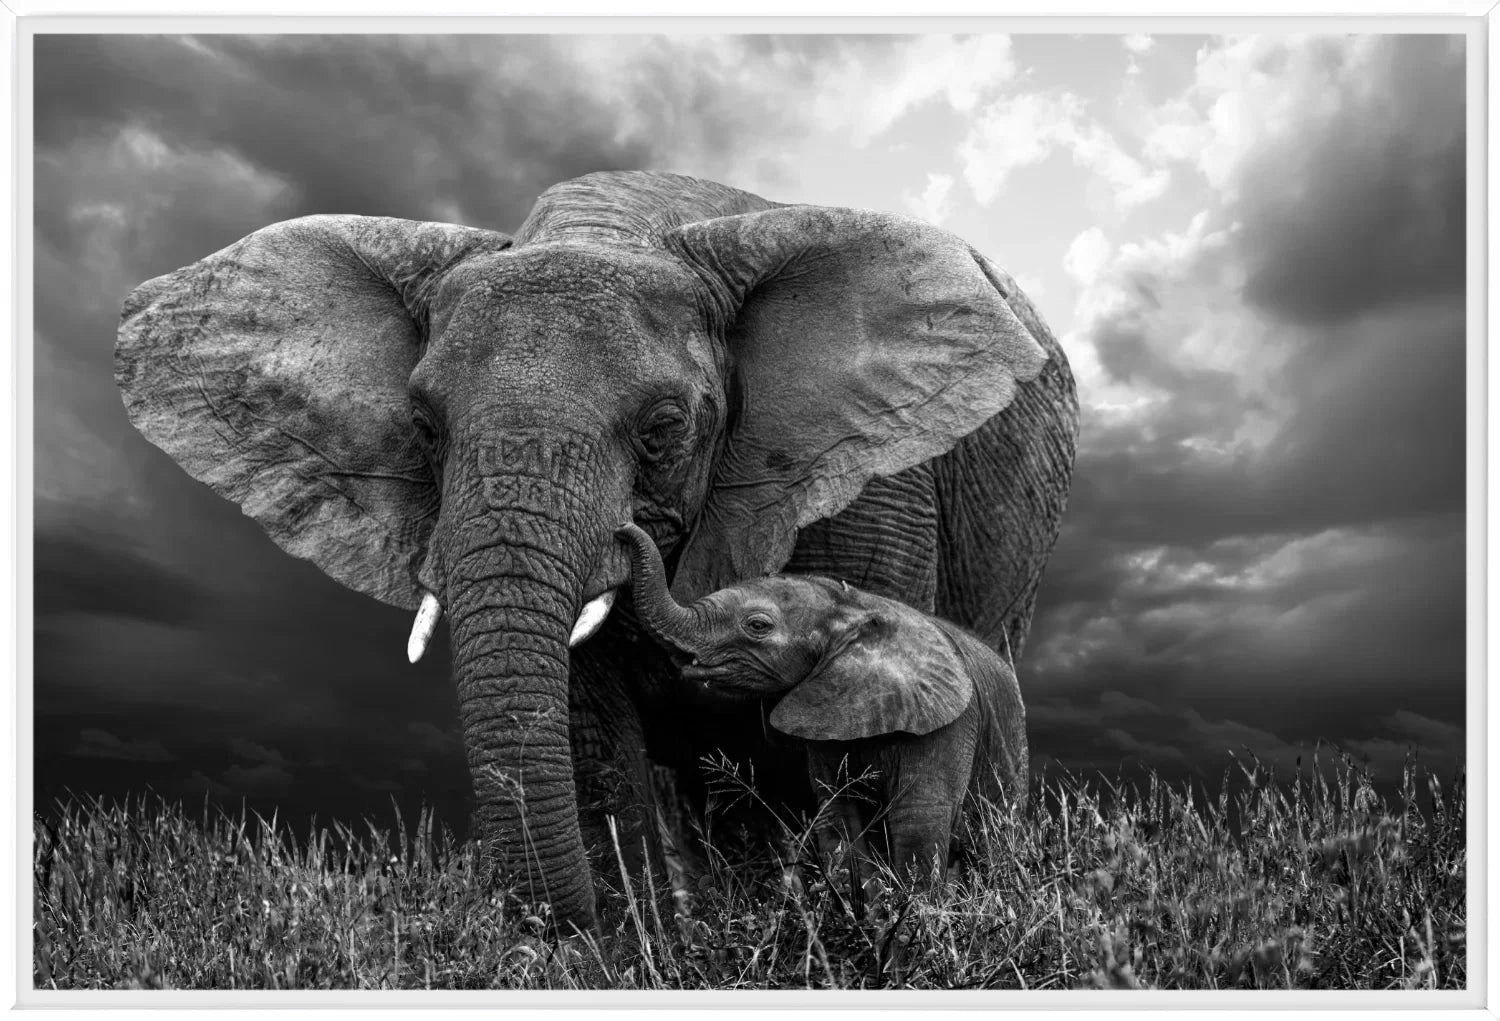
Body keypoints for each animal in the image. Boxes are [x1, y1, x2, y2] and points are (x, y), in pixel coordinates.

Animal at [616, 521, 1027, 892]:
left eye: (758, 626)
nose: (622, 529)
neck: (852, 607)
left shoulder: (947, 726)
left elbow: (918, 824)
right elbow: (839, 820)